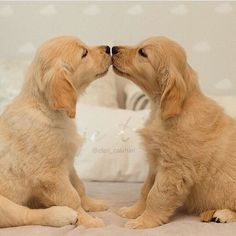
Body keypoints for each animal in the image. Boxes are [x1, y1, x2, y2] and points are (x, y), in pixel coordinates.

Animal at [0, 36, 111, 228]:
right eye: (84, 53)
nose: (109, 48)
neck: (46, 110)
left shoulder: (68, 164)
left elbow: (79, 187)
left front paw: (93, 204)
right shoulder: (51, 175)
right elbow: (72, 197)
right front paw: (88, 221)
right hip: (4, 204)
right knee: (25, 215)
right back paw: (62, 215)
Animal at [111, 37, 236, 229]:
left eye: (142, 52)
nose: (113, 48)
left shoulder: (174, 169)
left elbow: (155, 196)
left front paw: (143, 221)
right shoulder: (155, 163)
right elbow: (145, 190)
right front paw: (133, 211)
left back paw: (223, 214)